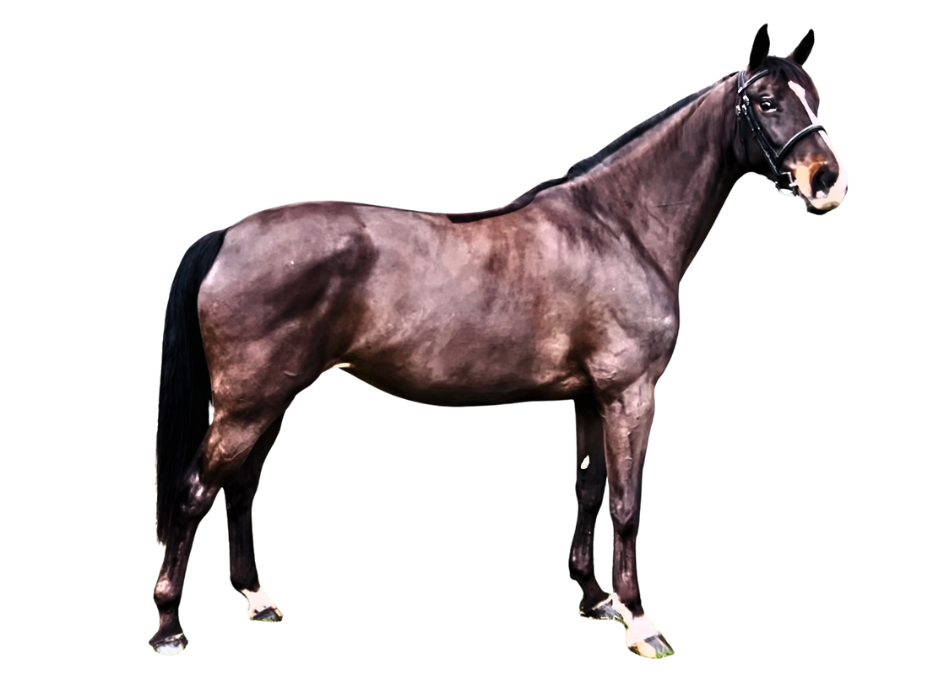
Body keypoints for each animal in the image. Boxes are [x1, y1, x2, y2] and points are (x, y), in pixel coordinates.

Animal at [151, 23, 849, 659]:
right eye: (765, 100)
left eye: (814, 93)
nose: (828, 181)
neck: (619, 227)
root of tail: (226, 235)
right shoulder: (631, 394)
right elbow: (627, 504)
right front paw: (640, 620)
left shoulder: (590, 397)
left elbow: (589, 491)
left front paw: (593, 598)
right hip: (248, 404)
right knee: (194, 494)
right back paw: (169, 626)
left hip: (277, 397)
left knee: (241, 490)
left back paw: (258, 599)